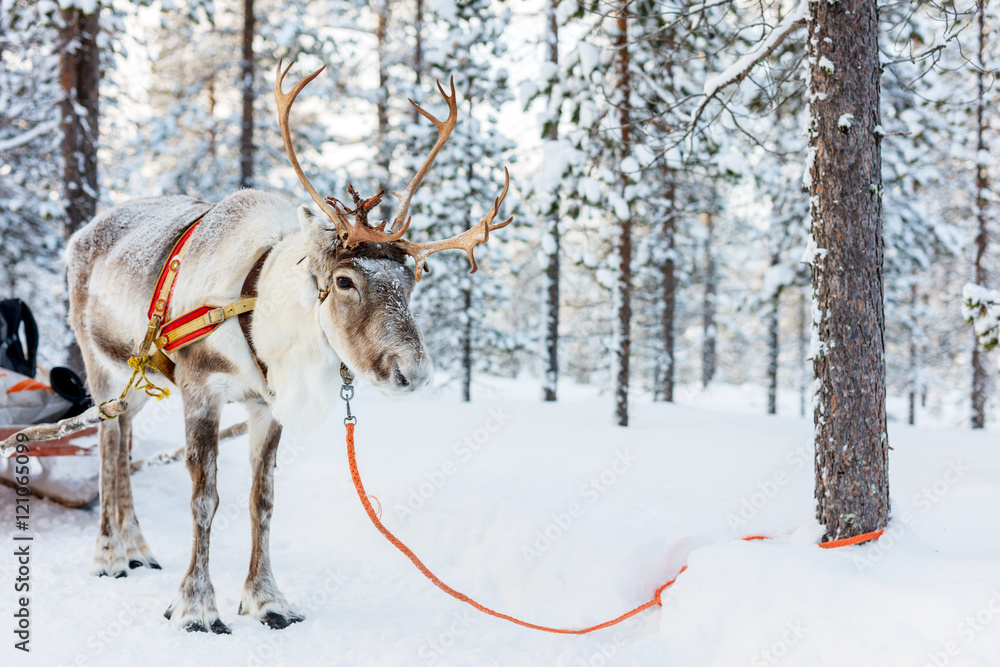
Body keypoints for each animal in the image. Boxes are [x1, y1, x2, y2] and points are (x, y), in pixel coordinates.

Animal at [65, 61, 511, 634]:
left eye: (411, 278)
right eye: (344, 280)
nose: (413, 372)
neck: (256, 313)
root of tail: (81, 234)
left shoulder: (265, 404)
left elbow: (264, 501)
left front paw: (267, 600)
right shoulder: (199, 388)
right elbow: (204, 499)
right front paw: (196, 607)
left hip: (139, 380)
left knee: (122, 440)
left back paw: (138, 548)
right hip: (98, 363)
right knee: (104, 444)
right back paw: (110, 556)